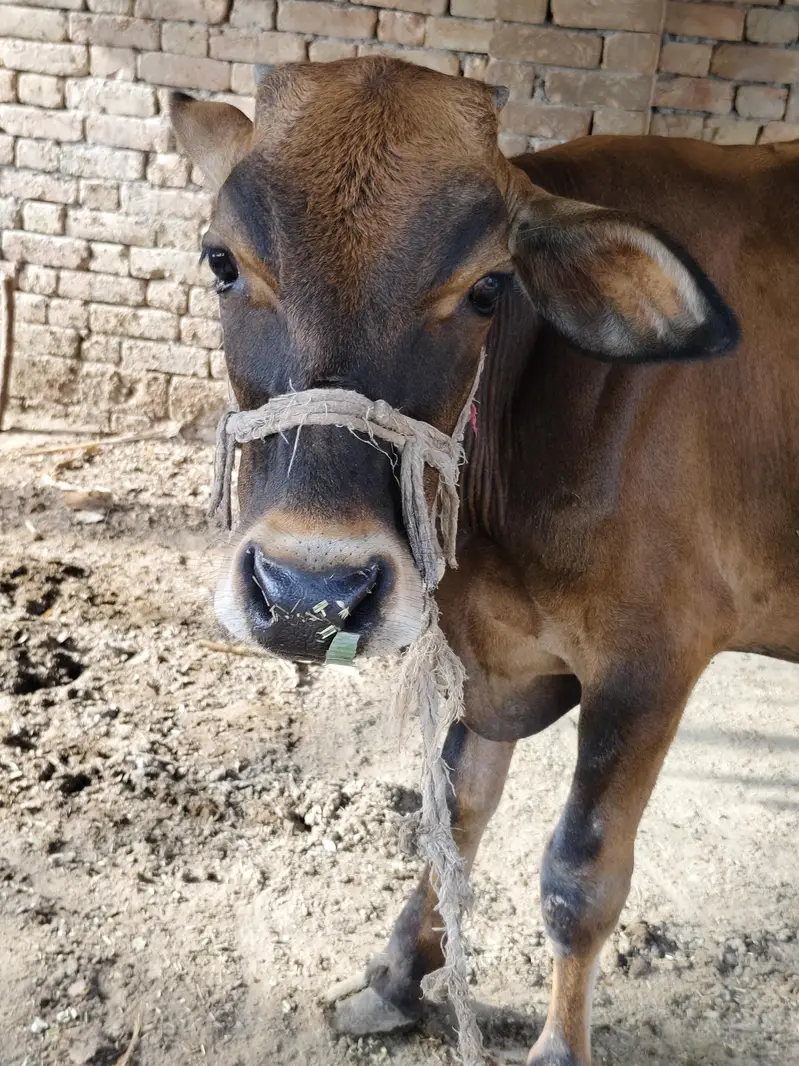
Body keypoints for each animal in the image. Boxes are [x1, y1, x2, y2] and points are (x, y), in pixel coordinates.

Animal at [170, 57, 799, 1066]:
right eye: (222, 262)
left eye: (487, 289)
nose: (310, 595)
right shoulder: (486, 651)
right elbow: (455, 815)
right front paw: (395, 978)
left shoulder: (652, 662)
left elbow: (580, 872)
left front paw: (556, 1048)